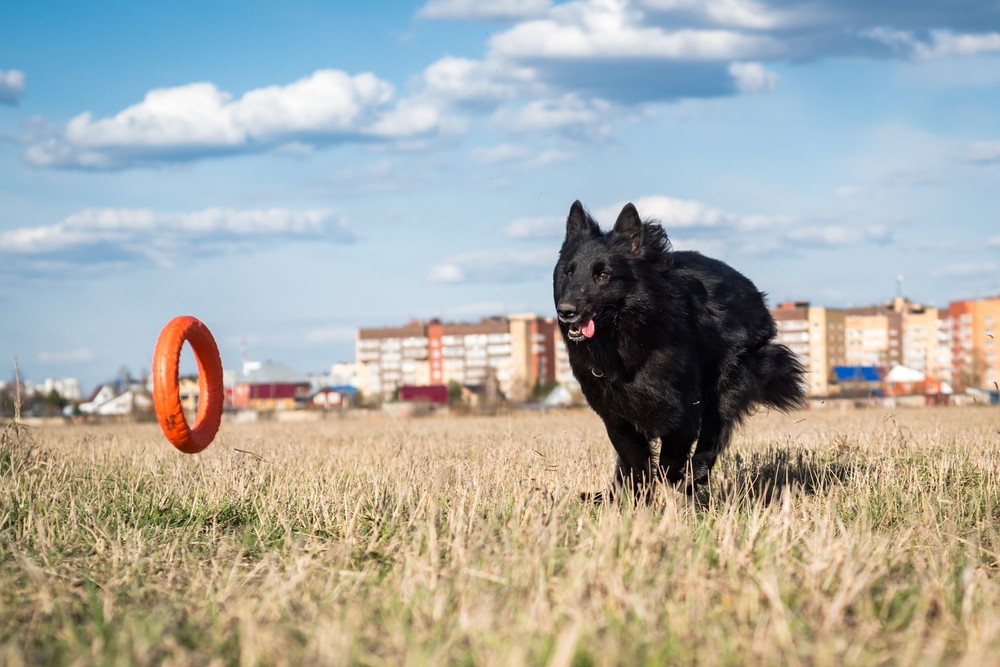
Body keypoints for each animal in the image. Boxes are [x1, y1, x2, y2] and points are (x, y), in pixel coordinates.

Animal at [556, 200, 804, 500]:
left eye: (603, 275)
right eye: (569, 273)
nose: (565, 311)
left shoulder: (683, 413)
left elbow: (668, 464)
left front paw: (680, 486)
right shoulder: (617, 418)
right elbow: (637, 467)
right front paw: (636, 505)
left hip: (730, 384)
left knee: (713, 433)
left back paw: (696, 474)